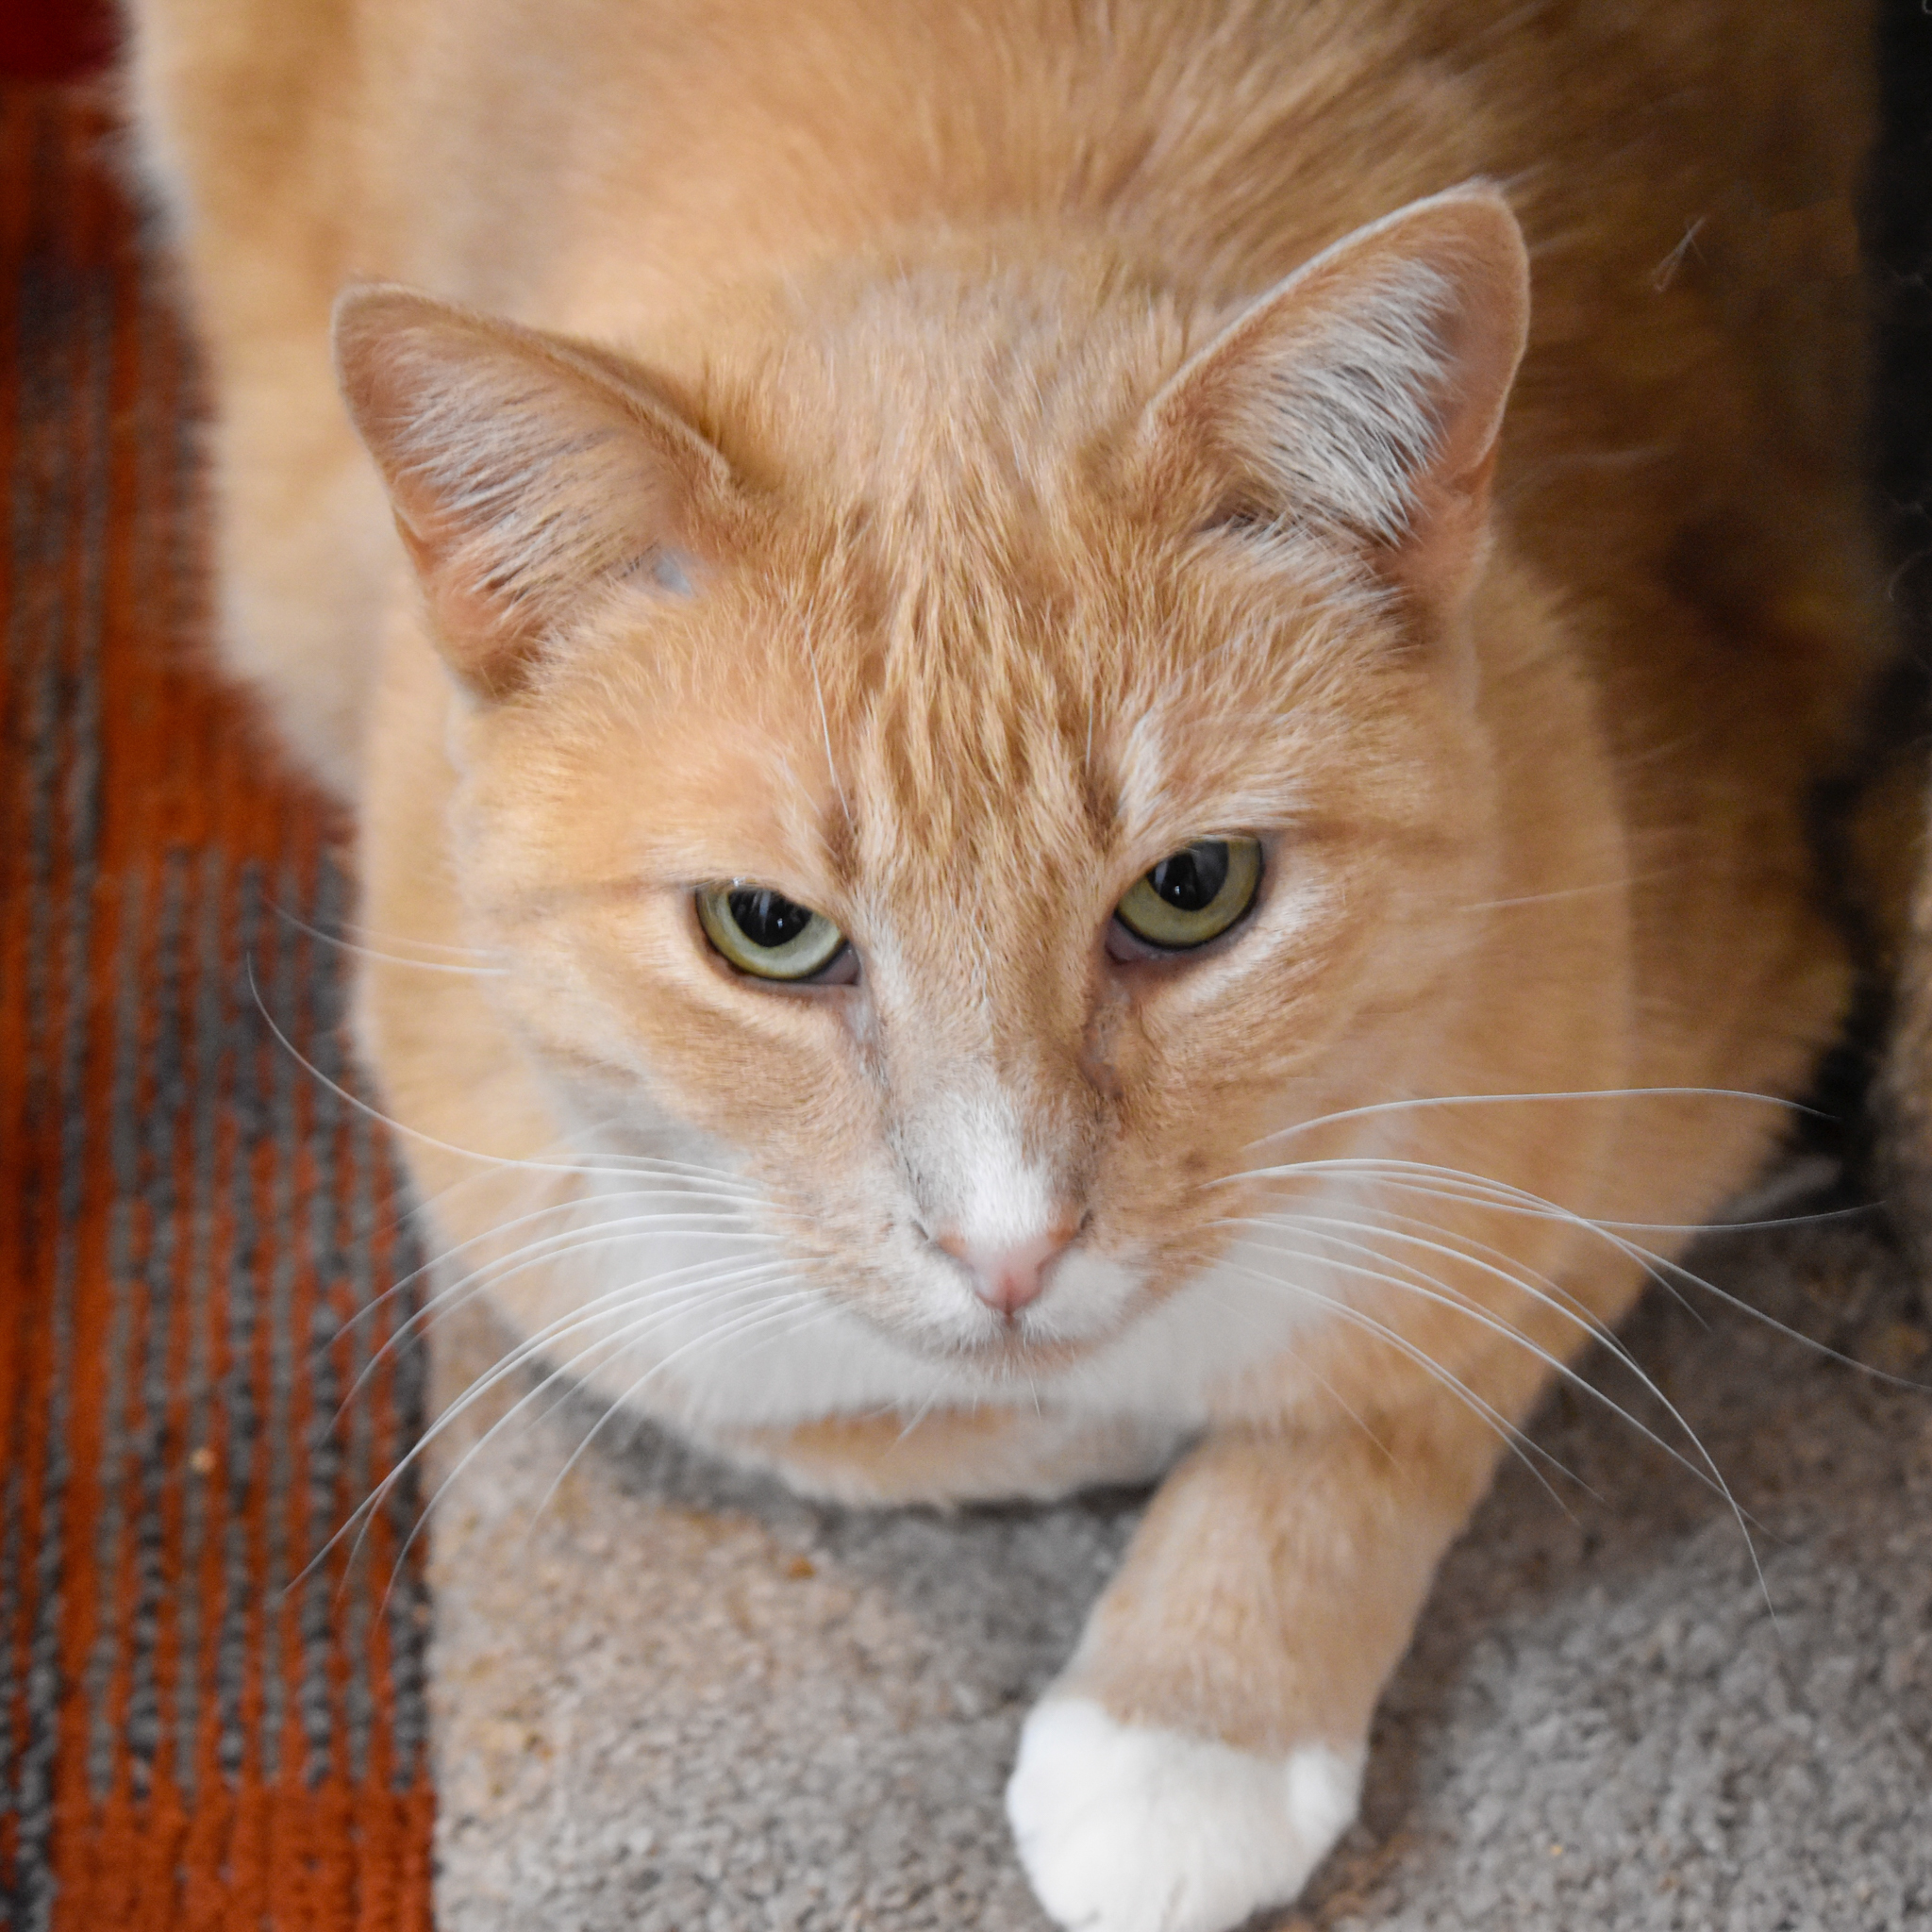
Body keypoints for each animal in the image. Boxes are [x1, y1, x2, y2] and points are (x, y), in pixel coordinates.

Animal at [128, 4, 1893, 1916]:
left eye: (1192, 889)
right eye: (768, 930)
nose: (1013, 1251)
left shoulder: (1696, 1042)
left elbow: (1407, 1347)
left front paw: (1191, 1714)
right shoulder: (569, 1240)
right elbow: (885, 1414)